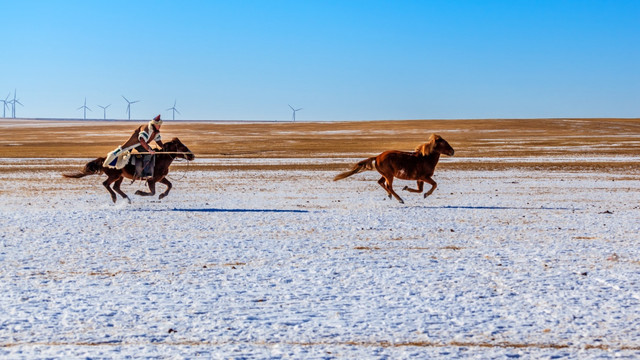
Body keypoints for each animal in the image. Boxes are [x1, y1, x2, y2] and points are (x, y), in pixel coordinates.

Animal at [64, 137, 196, 202]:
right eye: (182, 147)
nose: (192, 155)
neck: (160, 159)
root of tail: (104, 159)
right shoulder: (151, 180)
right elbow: (152, 192)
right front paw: (139, 192)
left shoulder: (160, 178)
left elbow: (170, 185)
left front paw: (162, 195)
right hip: (115, 175)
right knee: (106, 184)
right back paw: (115, 198)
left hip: (120, 177)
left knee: (115, 187)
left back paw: (126, 198)